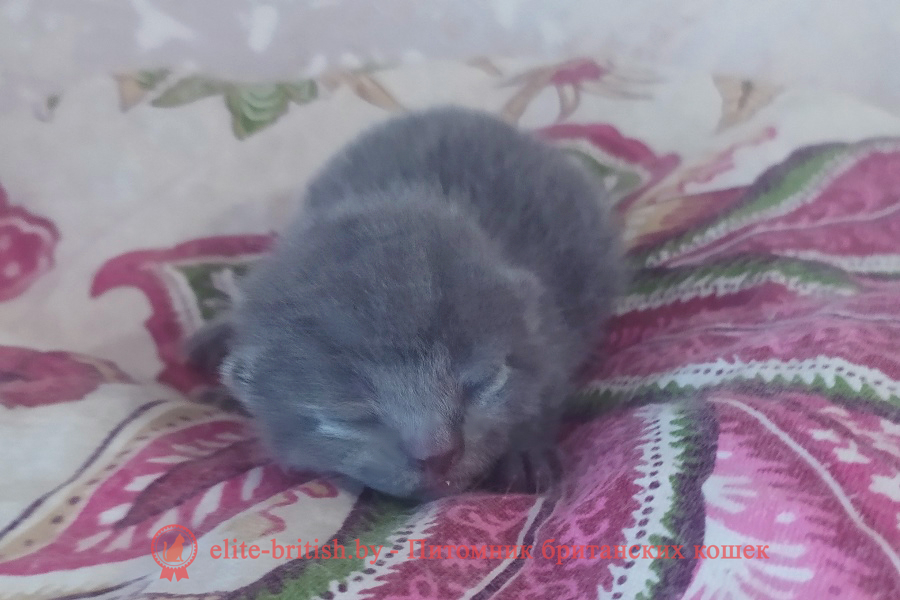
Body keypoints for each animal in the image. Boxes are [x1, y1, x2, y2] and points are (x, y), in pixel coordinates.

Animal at [186, 106, 626, 499]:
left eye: (483, 381)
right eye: (351, 415)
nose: (438, 455)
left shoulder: (555, 324)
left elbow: (548, 381)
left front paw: (525, 448)